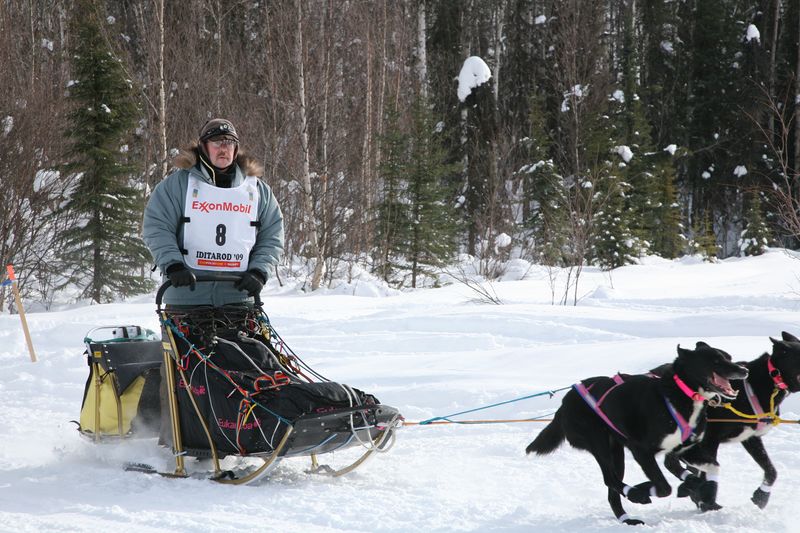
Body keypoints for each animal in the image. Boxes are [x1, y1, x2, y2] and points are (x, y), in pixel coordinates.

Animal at [528, 340, 748, 524]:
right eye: (715, 360)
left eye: (728, 357)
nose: (744, 369)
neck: (680, 394)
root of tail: (565, 402)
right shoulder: (642, 451)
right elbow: (664, 487)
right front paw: (645, 488)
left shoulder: (686, 448)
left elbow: (712, 467)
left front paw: (703, 491)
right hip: (598, 443)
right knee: (610, 479)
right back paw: (636, 494)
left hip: (616, 452)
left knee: (613, 490)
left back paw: (627, 519)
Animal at [664, 330, 800, 510]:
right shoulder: (709, 441)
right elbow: (708, 473)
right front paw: (708, 501)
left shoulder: (750, 438)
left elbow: (771, 470)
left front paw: (762, 496)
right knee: (672, 462)